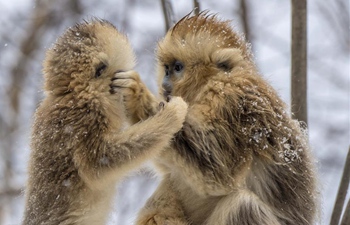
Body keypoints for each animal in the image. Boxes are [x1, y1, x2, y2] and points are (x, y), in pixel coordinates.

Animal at [115, 12, 320, 225]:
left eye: (177, 68)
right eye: (166, 68)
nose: (164, 83)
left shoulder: (231, 99)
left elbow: (217, 171)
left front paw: (137, 96)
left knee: (243, 205)